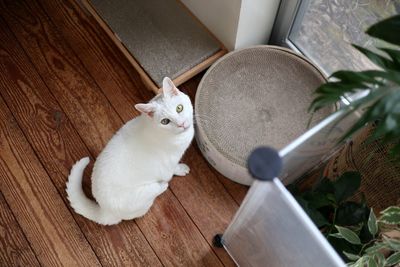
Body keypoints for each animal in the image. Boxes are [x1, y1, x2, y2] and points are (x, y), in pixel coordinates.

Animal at [66, 78, 195, 226]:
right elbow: (173, 169)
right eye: (165, 121)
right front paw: (181, 169)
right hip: (147, 191)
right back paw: (163, 186)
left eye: (179, 108)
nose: (182, 124)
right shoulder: (168, 166)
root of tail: (104, 211)